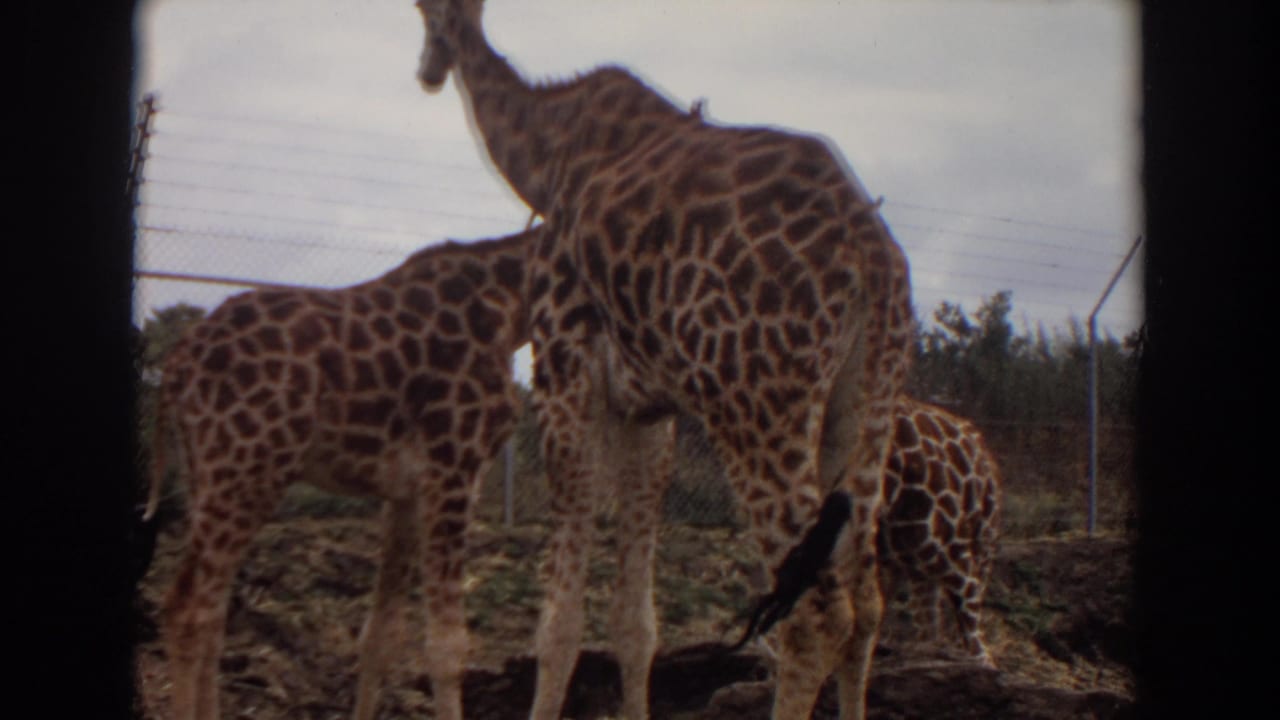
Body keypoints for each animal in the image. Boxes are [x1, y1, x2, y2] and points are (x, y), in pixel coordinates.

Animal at [144, 226, 535, 720]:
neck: (512, 308)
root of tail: (176, 366)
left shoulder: (406, 491)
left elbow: (380, 635)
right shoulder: (456, 468)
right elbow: (448, 647)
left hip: (209, 475)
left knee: (211, 613)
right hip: (244, 471)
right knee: (186, 608)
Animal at [411, 3, 915, 719]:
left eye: (421, 13)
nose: (427, 72)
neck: (546, 153)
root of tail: (873, 255)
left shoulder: (563, 369)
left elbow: (559, 622)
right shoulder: (650, 408)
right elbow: (635, 623)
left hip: (758, 404)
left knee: (815, 612)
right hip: (867, 407)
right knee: (868, 603)